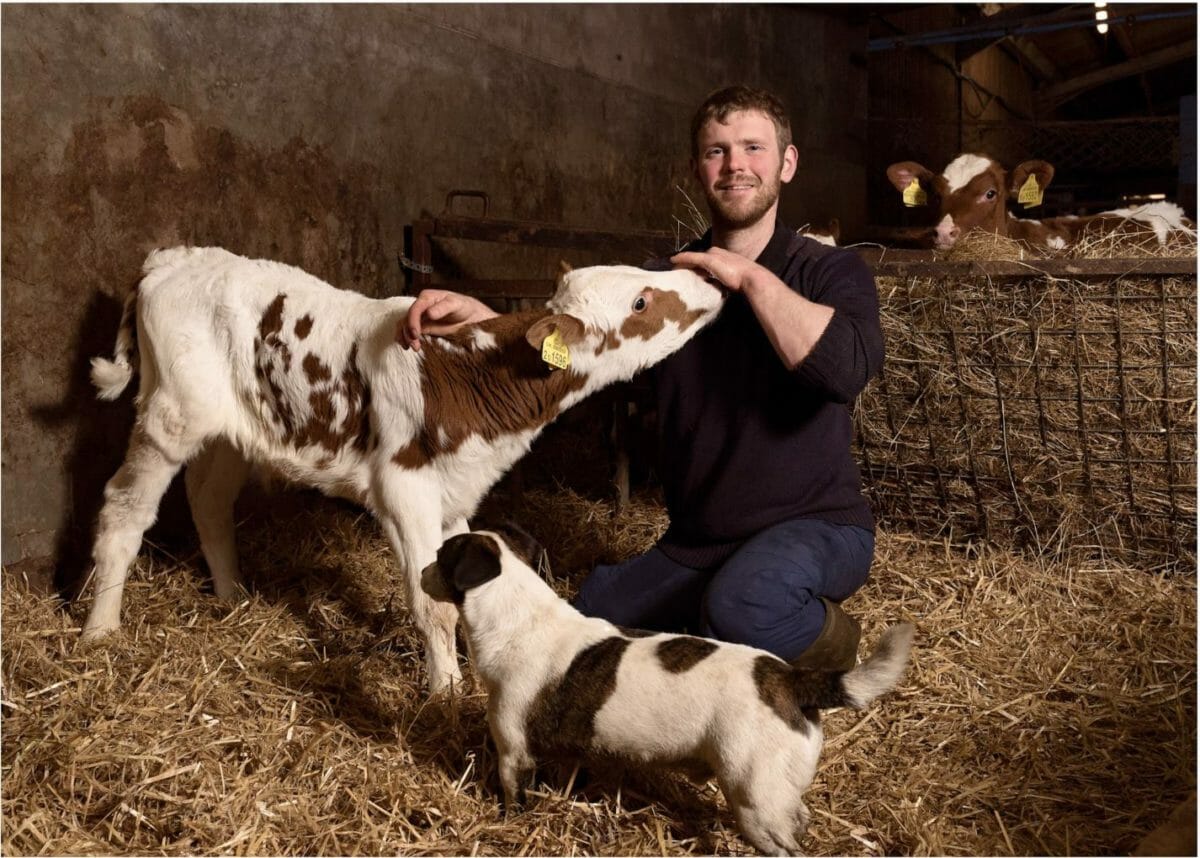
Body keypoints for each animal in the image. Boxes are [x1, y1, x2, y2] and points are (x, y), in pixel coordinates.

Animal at [84, 244, 724, 696]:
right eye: (640, 303)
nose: (708, 282)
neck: (467, 374)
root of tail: (172, 258)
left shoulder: (455, 494)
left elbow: (467, 588)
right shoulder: (403, 489)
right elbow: (433, 603)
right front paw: (445, 694)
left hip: (230, 431)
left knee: (208, 501)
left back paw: (233, 597)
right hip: (170, 417)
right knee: (124, 512)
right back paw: (100, 630)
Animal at [417, 530, 912, 858]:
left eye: (441, 556)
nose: (420, 570)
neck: (519, 619)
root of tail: (791, 681)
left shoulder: (513, 753)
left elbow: (513, 797)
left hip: (755, 800)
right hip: (777, 793)